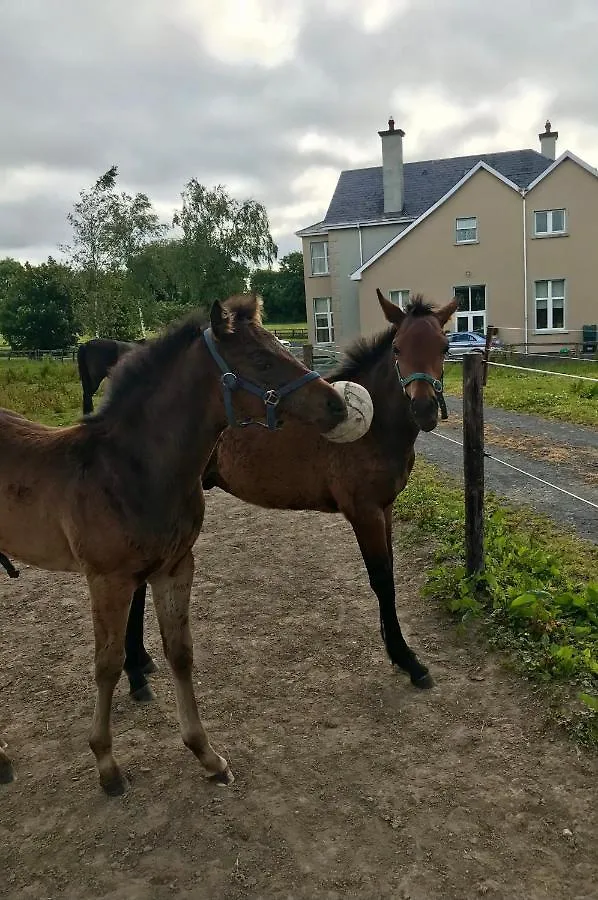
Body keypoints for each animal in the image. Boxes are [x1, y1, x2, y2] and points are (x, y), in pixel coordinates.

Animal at [0, 292, 350, 792]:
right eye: (262, 359)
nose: (336, 403)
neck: (134, 469)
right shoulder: (108, 580)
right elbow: (107, 664)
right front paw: (106, 765)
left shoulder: (175, 567)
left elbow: (179, 652)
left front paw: (208, 755)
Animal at [123, 292, 460, 700]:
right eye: (397, 348)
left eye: (444, 347)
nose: (424, 409)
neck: (373, 427)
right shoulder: (363, 511)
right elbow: (381, 580)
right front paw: (408, 660)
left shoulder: (386, 508)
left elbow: (390, 574)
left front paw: (395, 649)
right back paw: (134, 674)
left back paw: (140, 662)